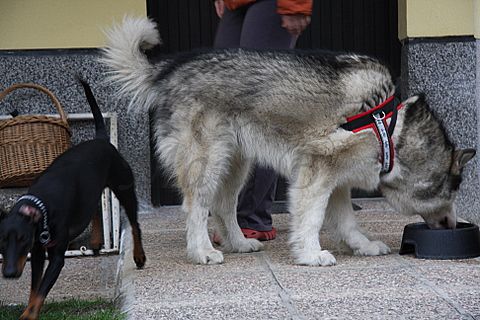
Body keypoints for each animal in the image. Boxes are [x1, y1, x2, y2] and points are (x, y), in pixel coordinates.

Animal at [0, 78, 146, 320]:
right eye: (2, 240)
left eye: (22, 239)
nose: (10, 273)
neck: (40, 204)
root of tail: (101, 139)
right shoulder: (38, 252)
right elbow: (34, 287)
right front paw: (27, 312)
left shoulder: (56, 256)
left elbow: (41, 290)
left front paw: (29, 316)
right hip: (93, 189)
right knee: (94, 206)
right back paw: (95, 240)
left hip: (124, 186)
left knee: (134, 223)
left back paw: (139, 256)